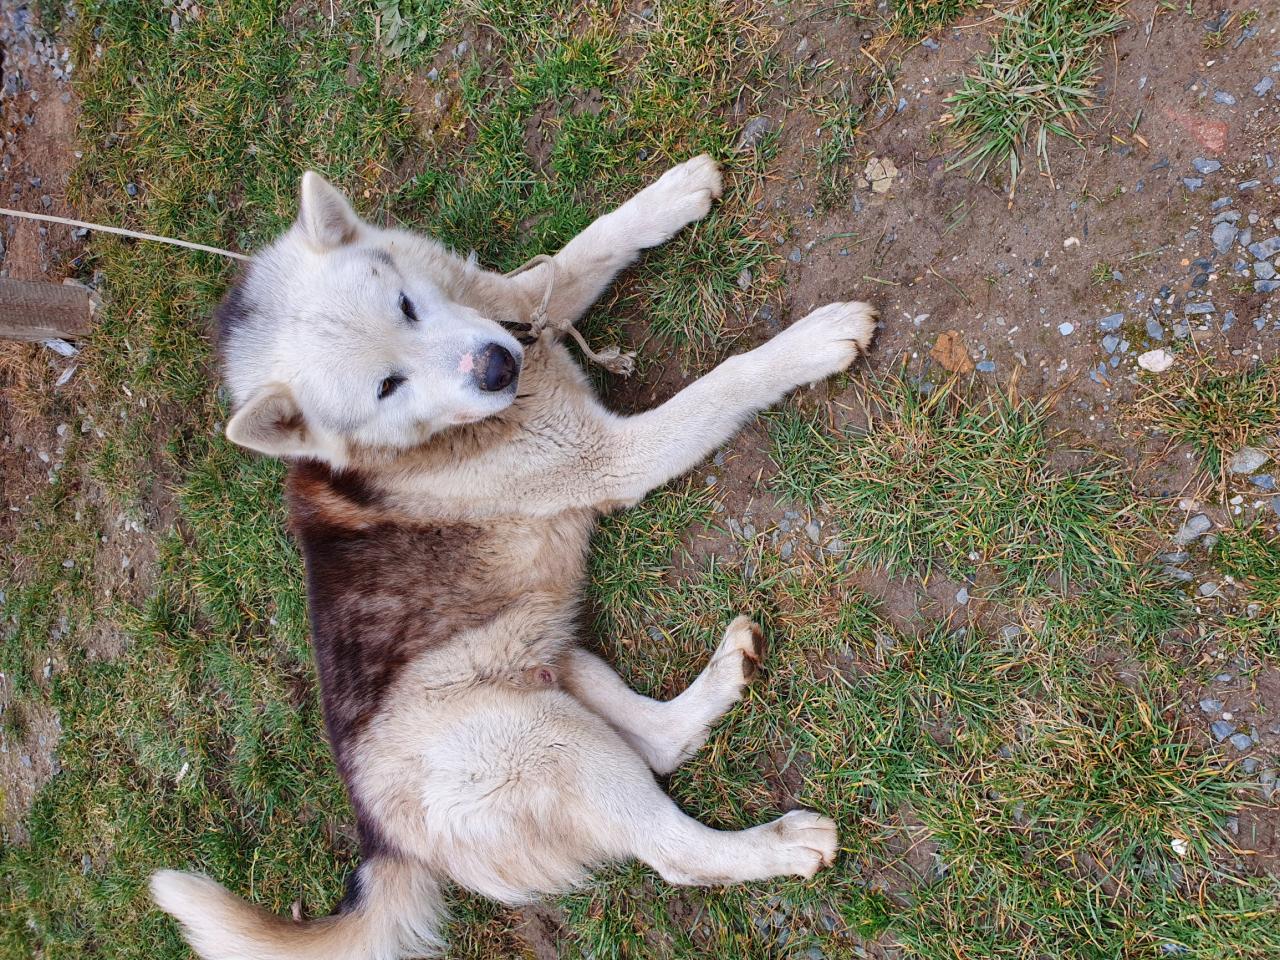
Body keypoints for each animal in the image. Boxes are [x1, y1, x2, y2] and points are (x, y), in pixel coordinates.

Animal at [151, 155, 877, 960]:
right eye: (386, 386)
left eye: (407, 305)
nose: (500, 364)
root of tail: (383, 839)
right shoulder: (617, 457)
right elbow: (725, 381)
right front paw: (811, 342)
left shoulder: (521, 299)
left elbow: (585, 247)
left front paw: (674, 194)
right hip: (550, 743)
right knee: (674, 852)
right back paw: (781, 846)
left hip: (549, 654)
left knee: (661, 742)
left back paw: (725, 674)